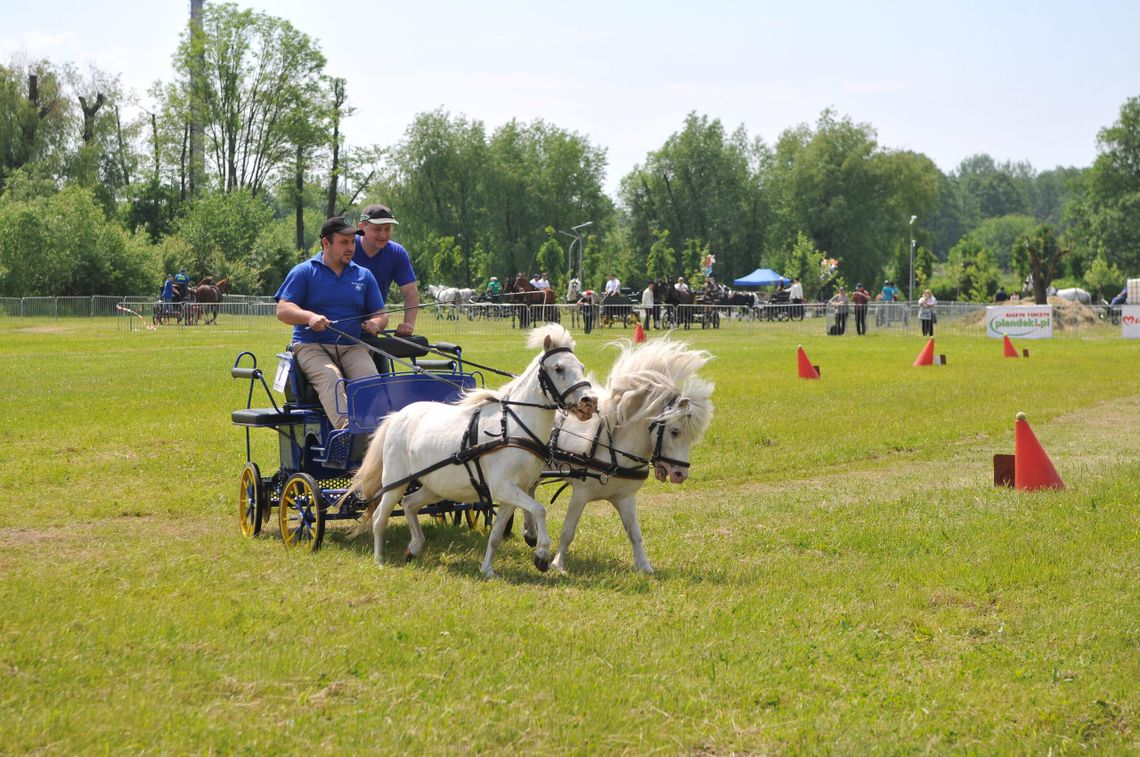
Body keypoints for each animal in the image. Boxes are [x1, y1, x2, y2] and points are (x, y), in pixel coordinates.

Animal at [344, 321, 601, 576]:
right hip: (394, 483)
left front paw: (487, 570)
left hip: (434, 486)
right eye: (558, 368)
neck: (513, 428)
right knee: (379, 517)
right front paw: (541, 555)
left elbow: (496, 534)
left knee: (409, 505)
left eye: (581, 366)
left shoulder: (511, 494)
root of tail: (397, 415)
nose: (589, 401)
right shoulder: (503, 487)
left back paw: (414, 547)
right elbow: (539, 510)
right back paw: (379, 559)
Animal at [522, 337, 711, 574]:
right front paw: (558, 564)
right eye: (675, 431)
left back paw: (531, 533)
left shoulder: (626, 498)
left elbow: (635, 534)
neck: (613, 449)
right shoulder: (580, 494)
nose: (680, 474)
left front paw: (644, 566)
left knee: (528, 490)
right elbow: (568, 531)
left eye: (693, 436)